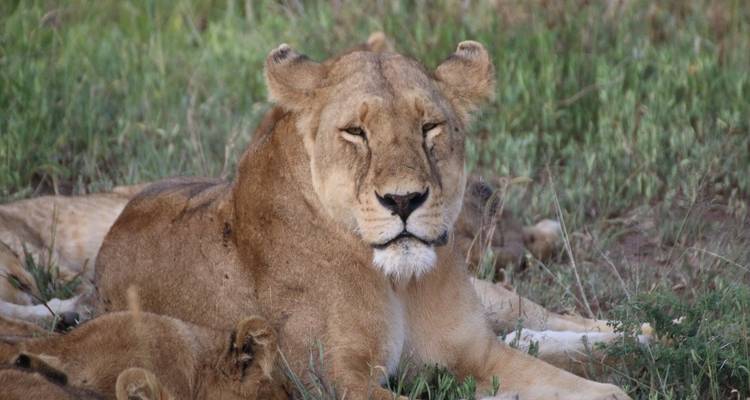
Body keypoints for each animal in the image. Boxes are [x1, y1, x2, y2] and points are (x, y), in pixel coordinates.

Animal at [91, 40, 630, 399]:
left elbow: (604, 392)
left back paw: (631, 335)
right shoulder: (333, 381)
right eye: (356, 132)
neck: (398, 284)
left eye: (429, 126)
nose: (404, 200)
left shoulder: (476, 353)